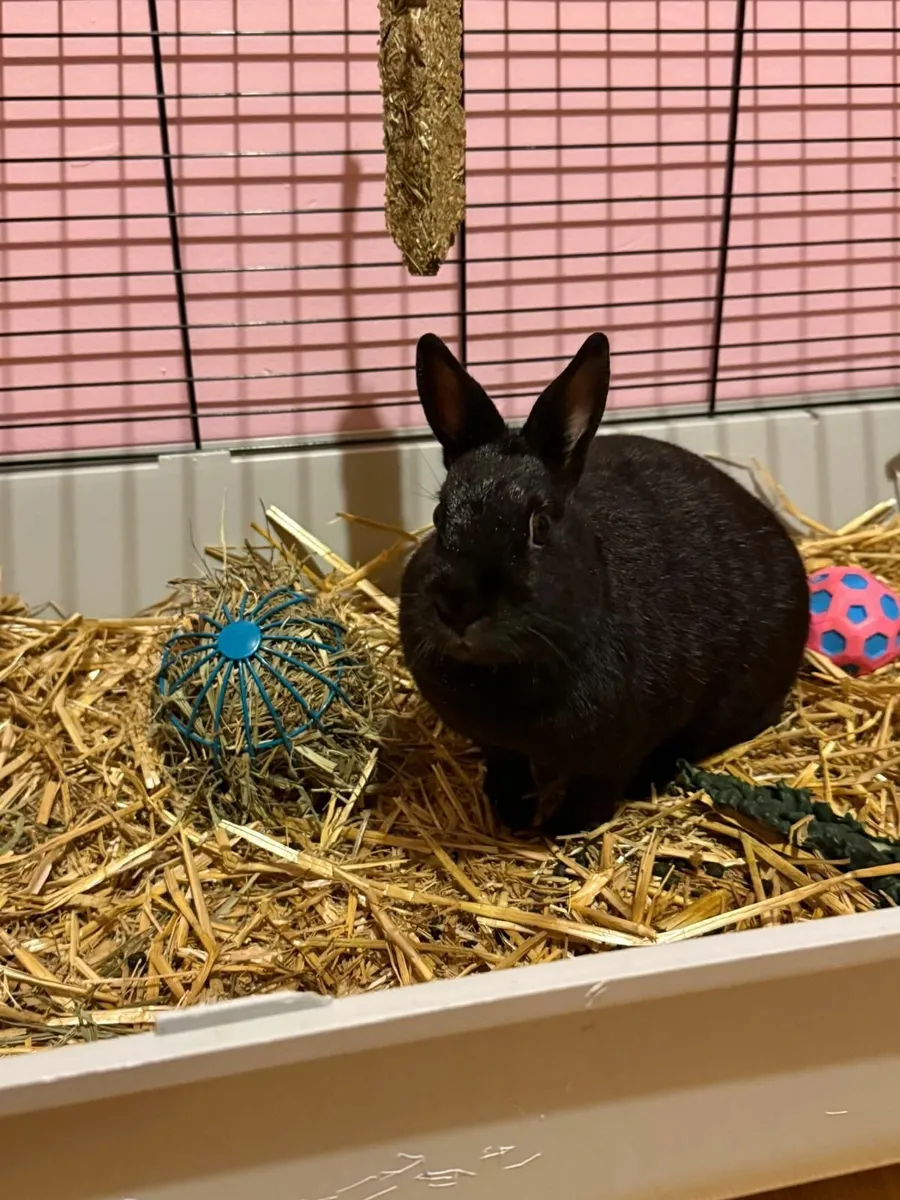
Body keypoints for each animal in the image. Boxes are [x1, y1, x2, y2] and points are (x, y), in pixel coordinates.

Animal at [399, 331, 810, 836]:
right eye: (440, 517)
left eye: (540, 525)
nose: (458, 606)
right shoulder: (500, 746)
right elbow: (507, 766)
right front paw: (510, 813)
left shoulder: (614, 753)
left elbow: (593, 793)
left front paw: (560, 829)